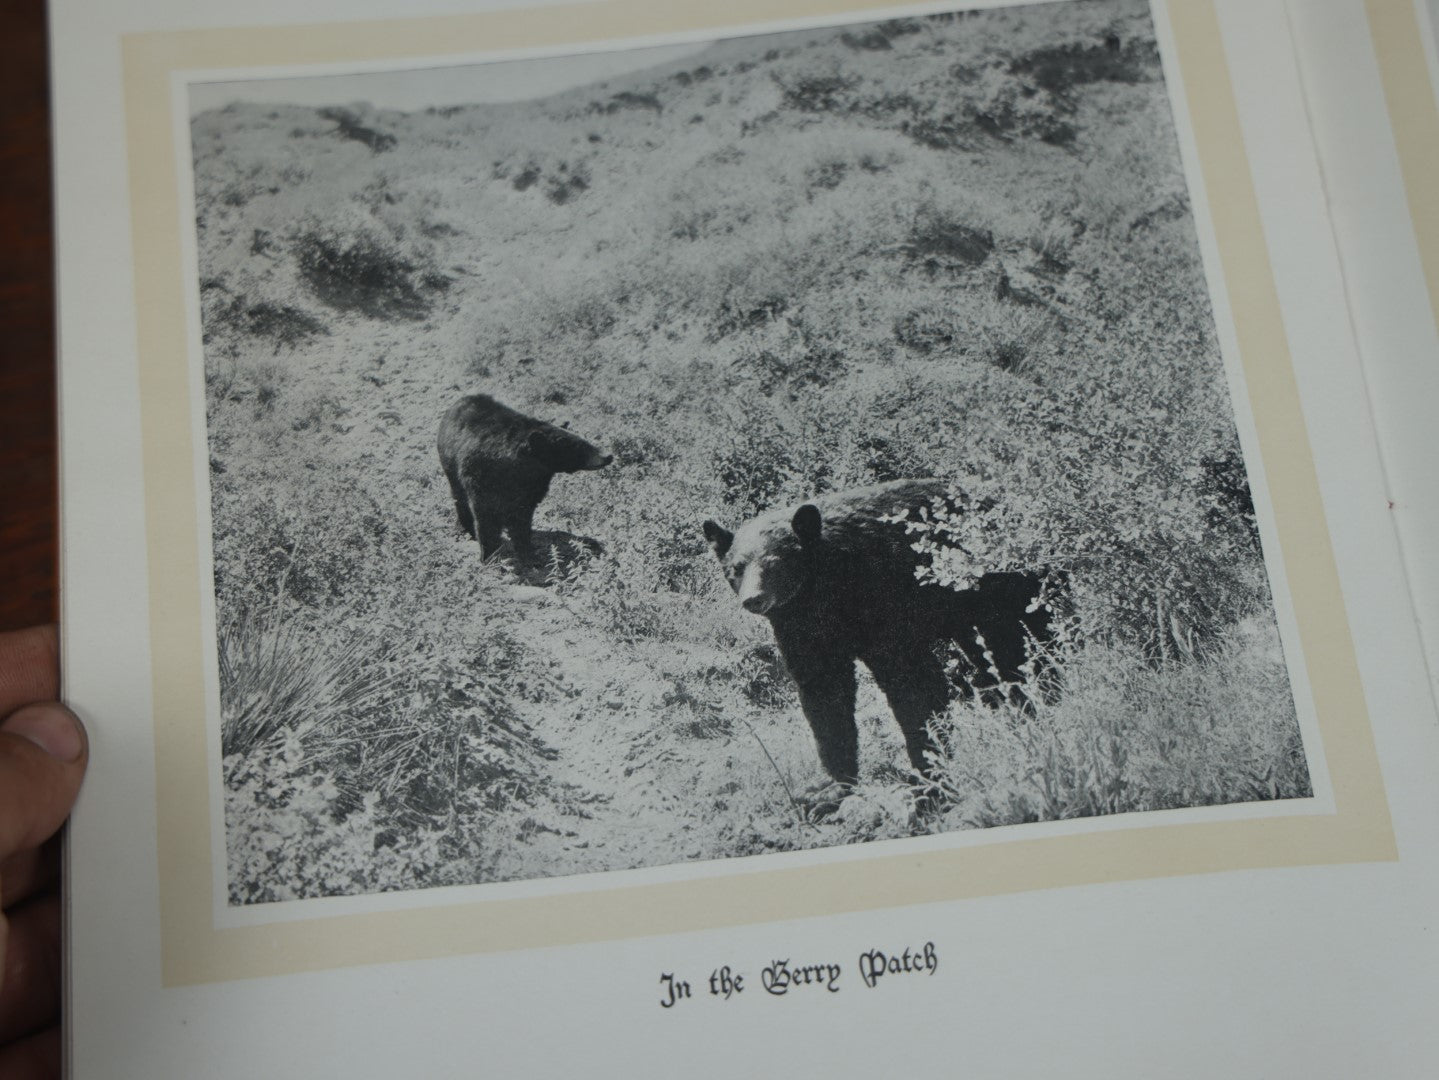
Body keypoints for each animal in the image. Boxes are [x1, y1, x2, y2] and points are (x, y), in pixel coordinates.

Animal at [434, 394, 610, 560]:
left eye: (583, 440)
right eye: (576, 446)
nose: (608, 455)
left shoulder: (532, 488)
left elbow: (522, 522)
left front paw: (529, 555)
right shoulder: (480, 477)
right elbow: (486, 518)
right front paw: (489, 556)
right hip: (449, 464)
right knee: (459, 495)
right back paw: (465, 528)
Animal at [705, 480, 1059, 788]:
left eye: (775, 562)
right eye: (736, 568)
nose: (753, 598)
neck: (828, 586)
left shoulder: (883, 597)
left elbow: (912, 681)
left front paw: (928, 774)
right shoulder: (801, 626)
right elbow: (823, 690)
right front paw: (833, 784)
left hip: (1001, 587)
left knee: (1021, 645)